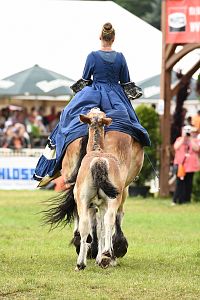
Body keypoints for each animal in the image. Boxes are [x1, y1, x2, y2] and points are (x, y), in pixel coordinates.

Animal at [42, 108, 144, 262]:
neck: (97, 149)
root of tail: (99, 162)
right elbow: (102, 225)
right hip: (112, 197)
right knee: (107, 220)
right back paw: (104, 254)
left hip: (85, 197)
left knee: (87, 223)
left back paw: (87, 257)